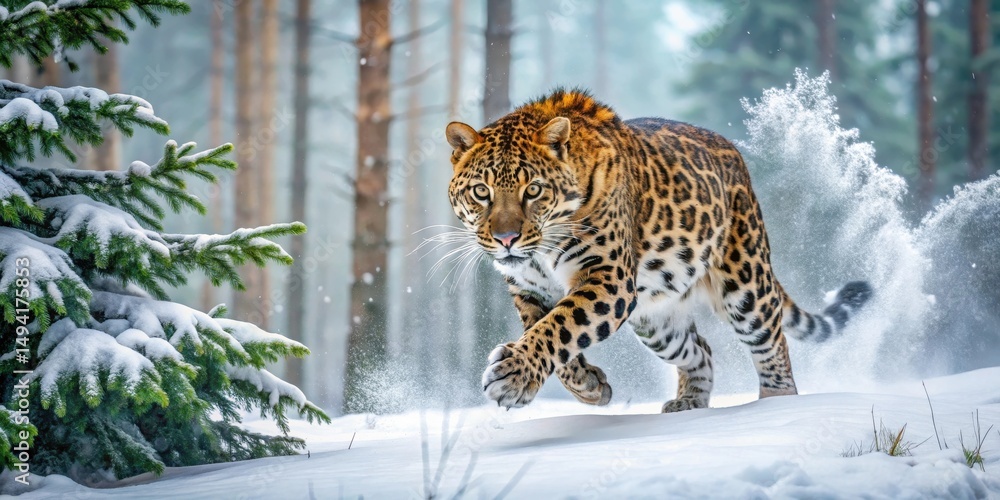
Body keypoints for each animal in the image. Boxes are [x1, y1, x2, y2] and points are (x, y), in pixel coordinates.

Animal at [444, 89, 873, 412]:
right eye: (481, 192)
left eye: (532, 190)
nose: (506, 238)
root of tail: (737, 157)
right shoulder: (528, 289)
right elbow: (546, 332)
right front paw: (589, 387)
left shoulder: (609, 279)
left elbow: (560, 326)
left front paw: (513, 375)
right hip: (656, 321)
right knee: (701, 349)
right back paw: (689, 403)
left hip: (746, 284)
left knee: (773, 341)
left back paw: (777, 406)